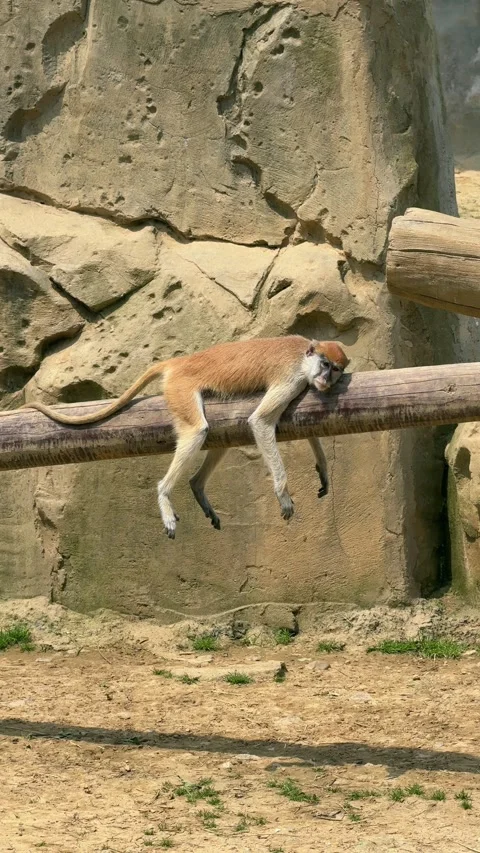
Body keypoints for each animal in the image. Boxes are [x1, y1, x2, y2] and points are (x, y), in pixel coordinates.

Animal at [21, 336, 349, 539]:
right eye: (325, 365)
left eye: (336, 369)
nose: (326, 379)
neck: (304, 355)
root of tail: (178, 363)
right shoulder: (291, 377)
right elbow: (260, 422)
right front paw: (283, 494)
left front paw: (323, 469)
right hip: (180, 388)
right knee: (196, 430)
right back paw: (164, 495)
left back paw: (197, 487)